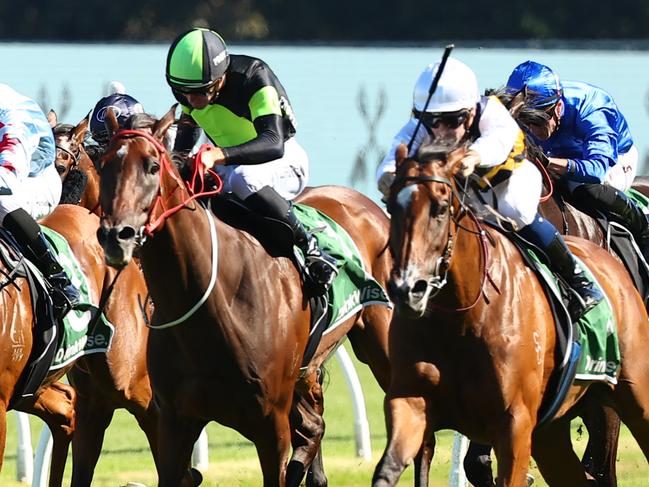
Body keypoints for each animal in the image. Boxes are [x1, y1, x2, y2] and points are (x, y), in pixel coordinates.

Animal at [93, 108, 392, 486]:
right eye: (103, 165)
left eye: (151, 165)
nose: (116, 236)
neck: (214, 305)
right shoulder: (175, 420)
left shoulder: (271, 426)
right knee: (314, 426)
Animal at [372, 143, 649, 486]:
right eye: (389, 204)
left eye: (440, 207)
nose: (407, 288)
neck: (460, 317)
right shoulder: (412, 402)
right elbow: (397, 465)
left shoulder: (514, 422)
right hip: (551, 434)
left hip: (633, 395)